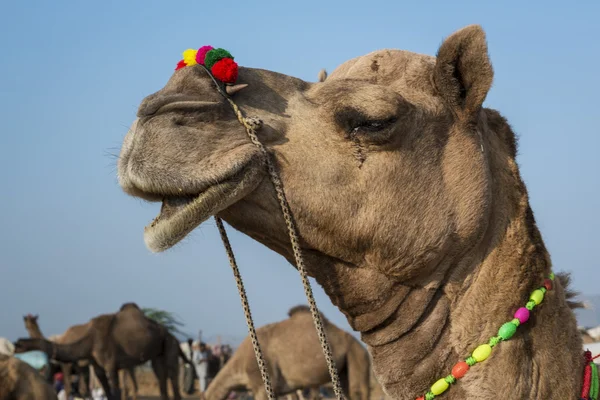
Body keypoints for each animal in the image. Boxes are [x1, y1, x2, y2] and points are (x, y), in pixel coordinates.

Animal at [14, 304, 192, 400]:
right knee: (161, 377)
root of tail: (172, 335)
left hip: (170, 346)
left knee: (173, 377)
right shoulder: (97, 367)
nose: (14, 349)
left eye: (19, 344)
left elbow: (115, 392)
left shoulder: (110, 365)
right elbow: (107, 392)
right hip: (157, 354)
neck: (89, 340)